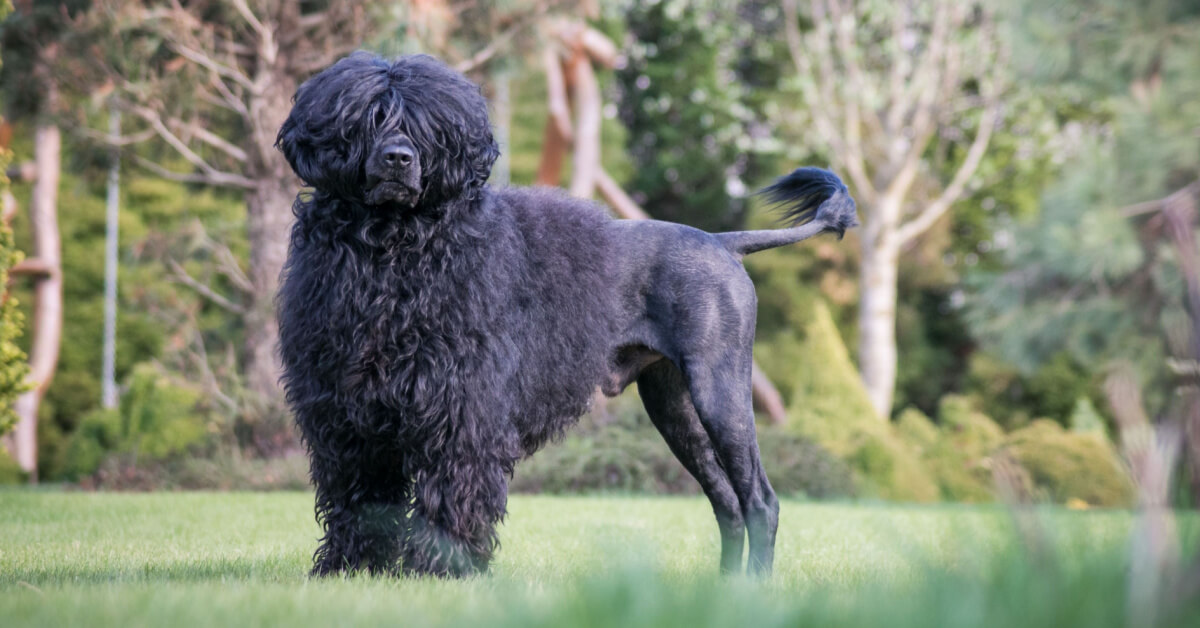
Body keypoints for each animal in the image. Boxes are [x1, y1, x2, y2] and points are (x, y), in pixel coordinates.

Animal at [276, 54, 859, 581]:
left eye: (424, 127)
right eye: (369, 117)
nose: (398, 158)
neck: (394, 250)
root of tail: (721, 241)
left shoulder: (462, 411)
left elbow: (451, 494)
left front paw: (443, 571)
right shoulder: (346, 415)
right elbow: (358, 500)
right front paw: (351, 570)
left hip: (721, 392)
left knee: (760, 499)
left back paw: (755, 585)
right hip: (674, 407)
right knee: (727, 503)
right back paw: (725, 587)